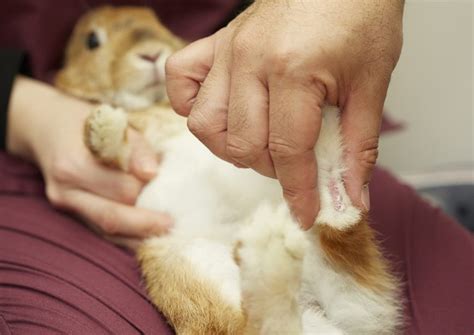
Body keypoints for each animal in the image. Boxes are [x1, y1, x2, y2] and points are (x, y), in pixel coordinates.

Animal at [55, 5, 404, 335]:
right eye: (91, 41)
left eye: (156, 21)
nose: (152, 52)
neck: (154, 103)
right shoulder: (145, 151)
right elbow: (117, 153)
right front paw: (103, 124)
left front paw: (104, 124)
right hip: (194, 272)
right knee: (267, 323)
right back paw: (271, 245)